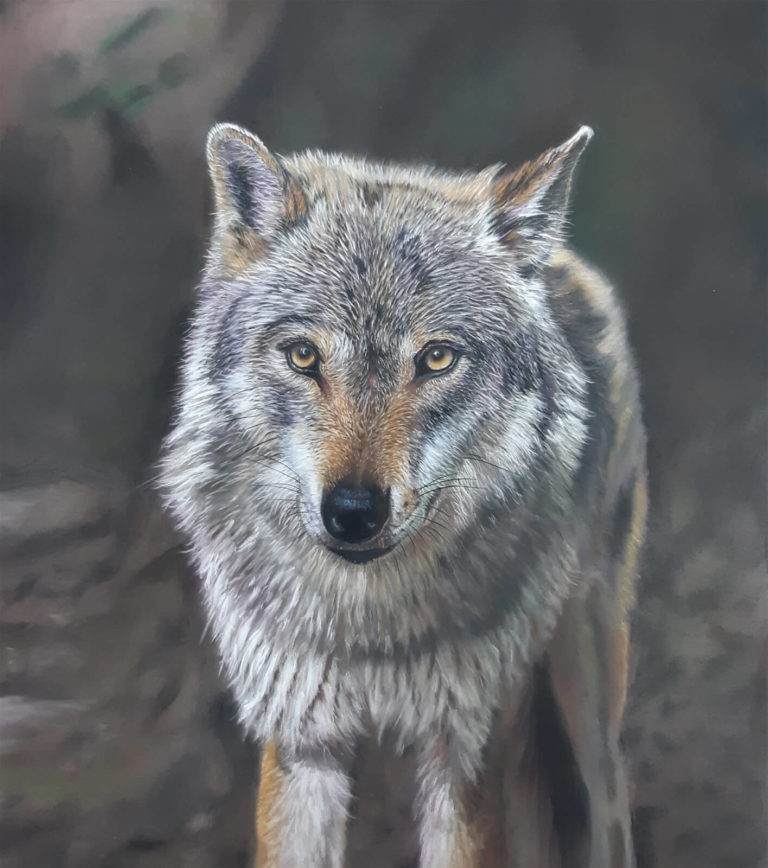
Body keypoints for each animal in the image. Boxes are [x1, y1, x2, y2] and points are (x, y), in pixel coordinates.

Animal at [160, 121, 647, 867]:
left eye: (437, 358)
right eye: (304, 356)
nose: (354, 512)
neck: (370, 631)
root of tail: (565, 264)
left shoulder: (466, 745)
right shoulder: (302, 740)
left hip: (583, 703)